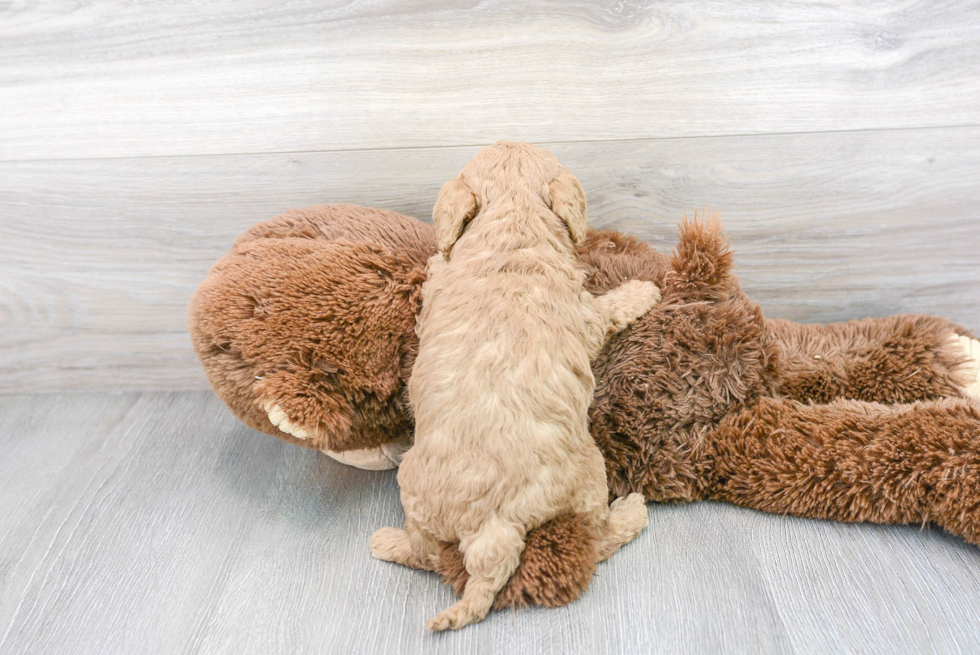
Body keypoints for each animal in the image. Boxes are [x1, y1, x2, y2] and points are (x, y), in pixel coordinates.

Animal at [372, 142, 664, 632]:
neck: (512, 226)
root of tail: (494, 526)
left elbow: (438, 268)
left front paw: (436, 255)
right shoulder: (586, 316)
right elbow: (610, 310)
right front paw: (643, 290)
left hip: (414, 490)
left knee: (425, 552)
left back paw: (386, 542)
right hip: (589, 477)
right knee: (598, 538)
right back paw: (632, 512)